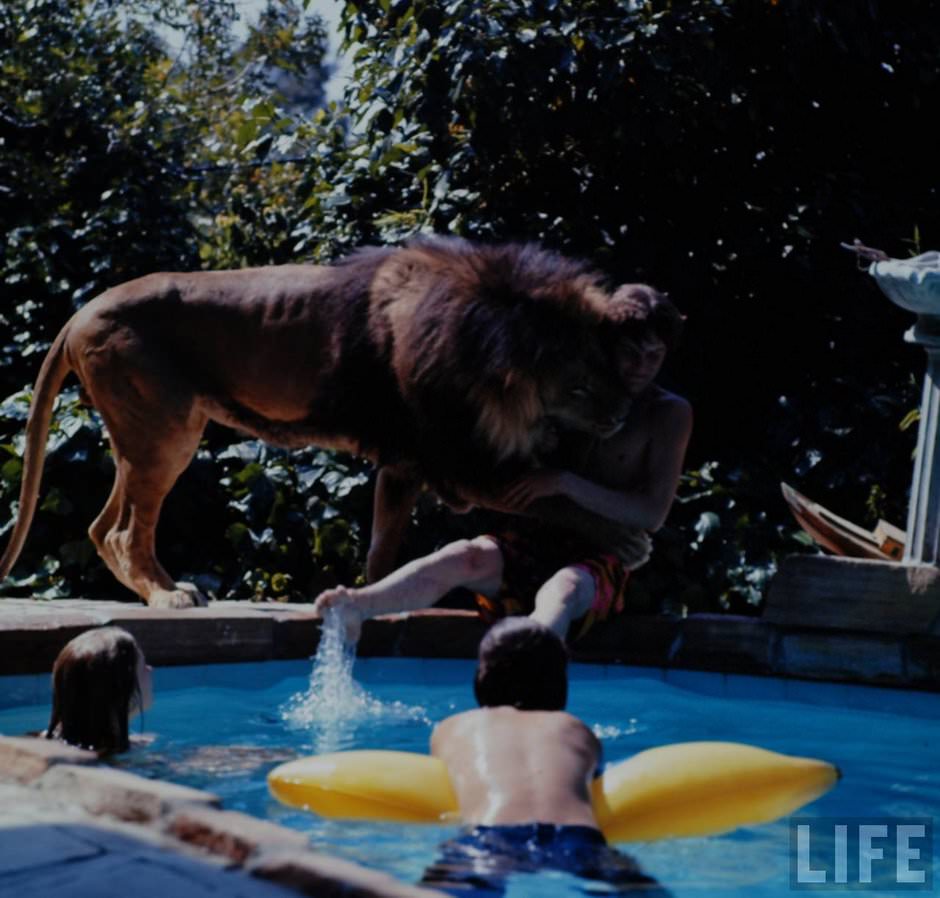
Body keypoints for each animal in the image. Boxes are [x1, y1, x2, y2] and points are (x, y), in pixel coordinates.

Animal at [0, 237, 642, 607]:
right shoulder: (447, 461)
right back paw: (166, 596)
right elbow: (552, 501)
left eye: (611, 367)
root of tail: (81, 310)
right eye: (580, 385)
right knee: (123, 532)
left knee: (101, 527)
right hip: (165, 433)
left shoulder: (412, 463)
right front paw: (627, 539)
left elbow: (383, 546)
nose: (620, 417)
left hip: (142, 437)